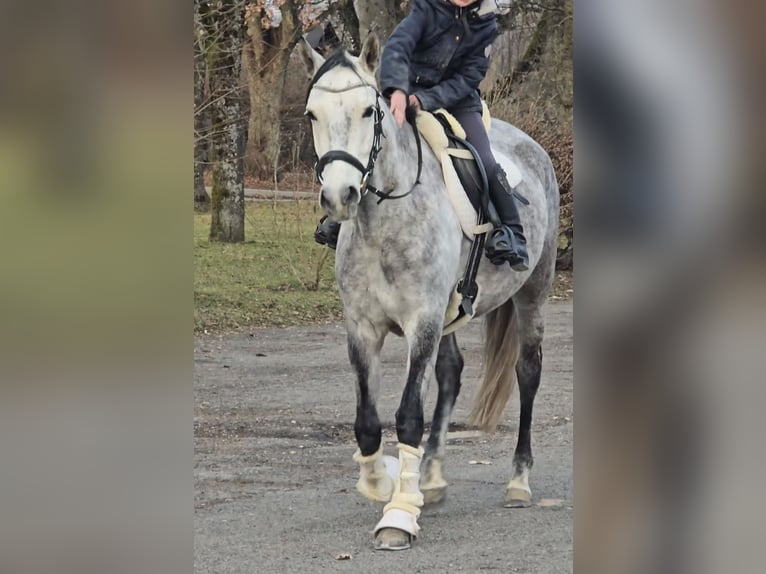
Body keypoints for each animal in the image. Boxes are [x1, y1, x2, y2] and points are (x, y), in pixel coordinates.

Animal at [302, 35, 564, 552]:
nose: (340, 196)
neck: (383, 222)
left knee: (528, 373)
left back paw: (518, 481)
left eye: (369, 111)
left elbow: (407, 415)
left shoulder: (420, 321)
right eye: (312, 115)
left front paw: (399, 514)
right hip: (450, 313)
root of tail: (533, 147)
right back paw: (431, 477)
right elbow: (367, 423)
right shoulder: (362, 327)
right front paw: (385, 480)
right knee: (451, 373)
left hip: (533, 294)